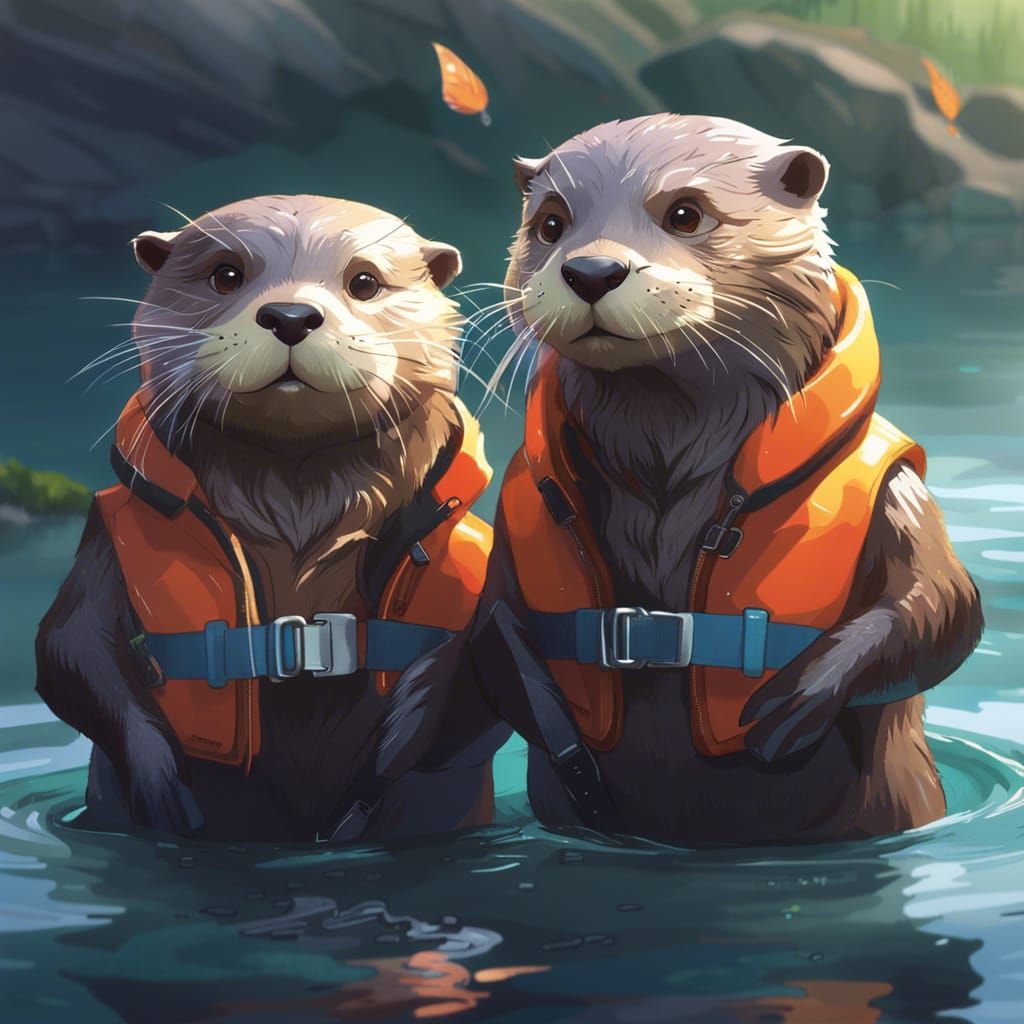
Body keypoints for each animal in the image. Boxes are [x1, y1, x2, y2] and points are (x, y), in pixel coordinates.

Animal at [36, 194, 505, 842]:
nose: (290, 315)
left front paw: (394, 753)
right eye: (225, 274)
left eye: (364, 281)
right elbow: (71, 645)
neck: (298, 521)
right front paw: (165, 788)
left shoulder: (476, 559)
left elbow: (477, 660)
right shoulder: (105, 538)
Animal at [470, 115, 982, 844]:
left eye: (685, 213)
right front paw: (563, 738)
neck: (669, 473)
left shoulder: (895, 493)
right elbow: (493, 625)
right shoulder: (514, 517)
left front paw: (785, 708)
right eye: (550, 222)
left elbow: (941, 604)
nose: (593, 270)